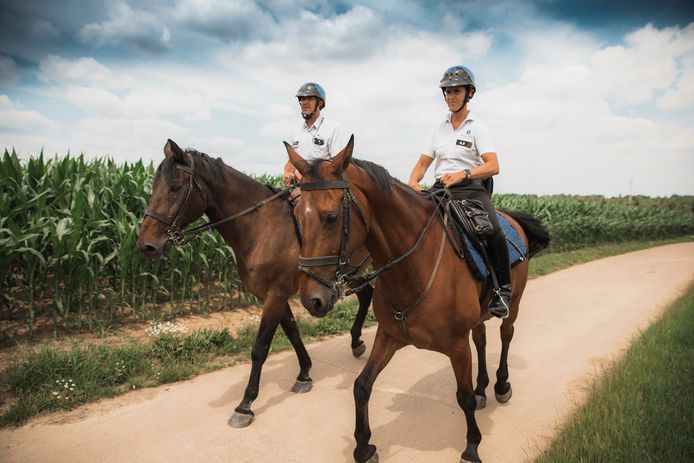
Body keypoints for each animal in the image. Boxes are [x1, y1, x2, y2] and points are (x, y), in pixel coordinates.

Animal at [137, 140, 376, 430]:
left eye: (174, 187)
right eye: (153, 187)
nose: (147, 245)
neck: (261, 227)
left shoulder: (275, 295)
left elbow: (260, 348)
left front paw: (245, 405)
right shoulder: (271, 295)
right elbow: (292, 332)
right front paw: (304, 374)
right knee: (367, 294)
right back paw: (356, 342)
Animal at [286, 136, 552, 462]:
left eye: (331, 218)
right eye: (297, 217)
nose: (311, 299)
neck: (413, 267)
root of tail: (511, 218)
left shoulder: (456, 345)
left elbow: (462, 398)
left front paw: (472, 447)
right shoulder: (389, 336)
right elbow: (362, 385)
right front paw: (363, 446)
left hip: (512, 305)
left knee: (505, 335)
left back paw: (501, 385)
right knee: (481, 339)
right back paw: (482, 388)